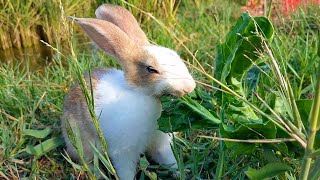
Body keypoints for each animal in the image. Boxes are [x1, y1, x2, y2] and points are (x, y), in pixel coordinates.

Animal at [60, 4, 195, 180]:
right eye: (151, 69)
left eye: (175, 55)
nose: (189, 87)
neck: (143, 94)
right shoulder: (124, 152)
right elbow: (126, 170)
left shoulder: (161, 144)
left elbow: (169, 161)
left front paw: (181, 173)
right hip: (81, 145)